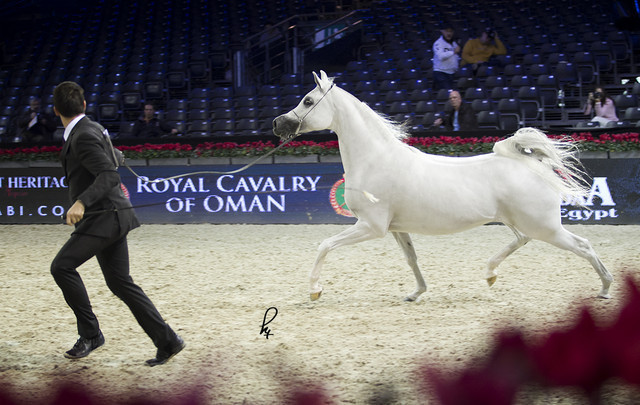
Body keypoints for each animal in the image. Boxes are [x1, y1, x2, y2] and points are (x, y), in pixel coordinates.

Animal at [272, 70, 613, 302]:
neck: (375, 159)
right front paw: (416, 293)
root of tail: (525, 162)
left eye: (308, 100)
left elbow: (325, 245)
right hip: (518, 221)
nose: (277, 124)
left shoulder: (370, 226)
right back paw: (490, 274)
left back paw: (606, 288)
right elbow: (411, 259)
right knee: (522, 240)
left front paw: (315, 291)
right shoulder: (395, 229)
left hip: (546, 227)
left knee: (582, 246)